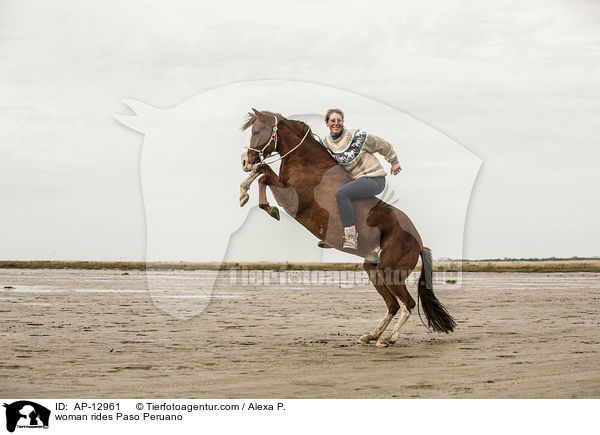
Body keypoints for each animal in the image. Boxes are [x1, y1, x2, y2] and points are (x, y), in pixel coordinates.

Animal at [239, 109, 454, 348]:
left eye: (257, 131)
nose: (244, 161)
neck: (308, 163)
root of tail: (418, 242)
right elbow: (262, 170)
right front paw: (243, 193)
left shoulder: (292, 200)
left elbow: (265, 176)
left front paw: (267, 207)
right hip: (373, 270)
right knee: (393, 305)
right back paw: (371, 335)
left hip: (391, 273)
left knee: (407, 304)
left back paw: (388, 339)